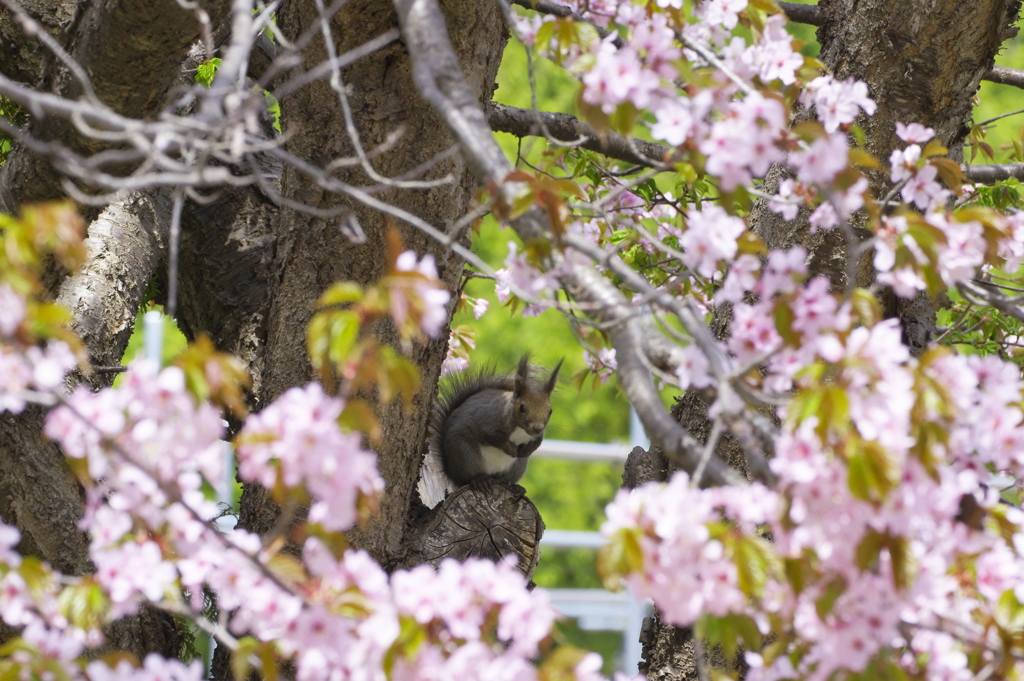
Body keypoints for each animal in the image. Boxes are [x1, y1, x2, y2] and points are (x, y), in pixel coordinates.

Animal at [428, 352, 565, 491]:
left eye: (550, 411)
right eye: (522, 407)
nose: (537, 428)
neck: (520, 429)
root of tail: (451, 472)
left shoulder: (537, 435)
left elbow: (537, 442)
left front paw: (526, 450)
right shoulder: (487, 421)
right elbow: (494, 437)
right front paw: (511, 450)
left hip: (517, 467)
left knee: (505, 478)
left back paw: (514, 486)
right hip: (464, 453)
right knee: (469, 476)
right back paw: (480, 480)